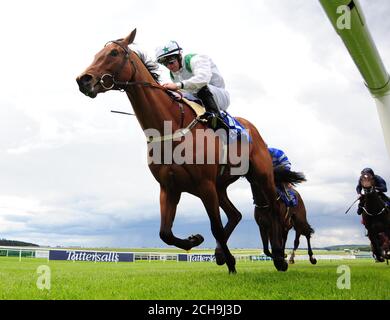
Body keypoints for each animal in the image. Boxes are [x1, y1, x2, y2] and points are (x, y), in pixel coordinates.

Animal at [75, 28, 292, 272]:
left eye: (113, 53)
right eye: (97, 54)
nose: (83, 80)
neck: (170, 127)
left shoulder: (205, 184)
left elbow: (215, 227)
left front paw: (231, 264)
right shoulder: (169, 187)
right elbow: (165, 233)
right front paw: (194, 240)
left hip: (260, 176)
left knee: (273, 209)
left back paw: (279, 257)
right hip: (220, 186)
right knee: (235, 214)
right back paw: (220, 253)